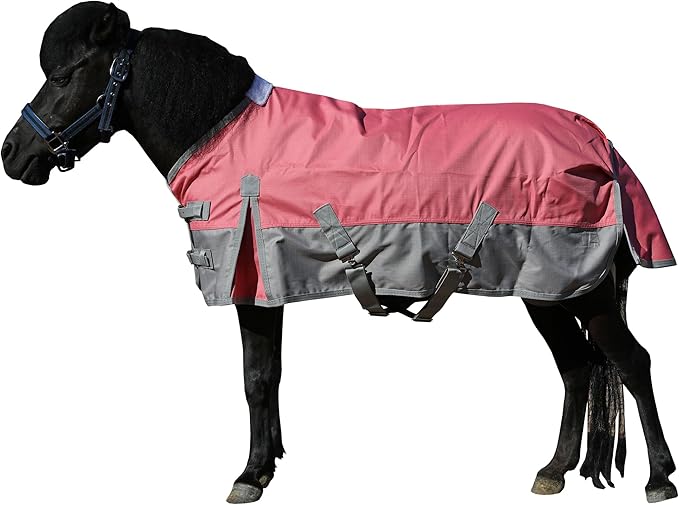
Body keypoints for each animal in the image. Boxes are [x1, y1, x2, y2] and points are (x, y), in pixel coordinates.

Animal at [2, 2, 676, 503]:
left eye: (63, 76)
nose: (13, 155)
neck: (224, 135)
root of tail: (599, 141)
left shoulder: (252, 289)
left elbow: (255, 378)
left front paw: (249, 474)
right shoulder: (267, 287)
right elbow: (270, 375)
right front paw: (269, 460)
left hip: (581, 289)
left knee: (631, 363)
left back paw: (657, 478)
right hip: (548, 291)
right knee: (577, 367)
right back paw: (553, 470)